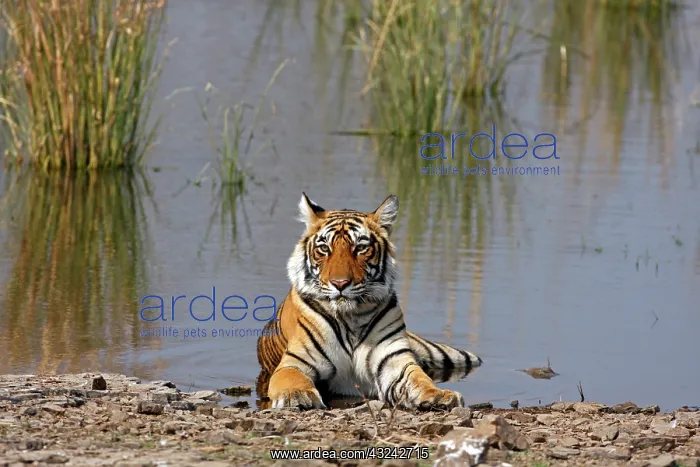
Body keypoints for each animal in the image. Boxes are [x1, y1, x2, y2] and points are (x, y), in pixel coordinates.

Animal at [256, 193, 482, 411]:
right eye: (324, 248)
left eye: (361, 248)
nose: (340, 283)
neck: (351, 318)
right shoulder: (296, 362)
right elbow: (292, 378)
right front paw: (295, 396)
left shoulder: (394, 361)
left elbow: (419, 379)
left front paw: (439, 395)